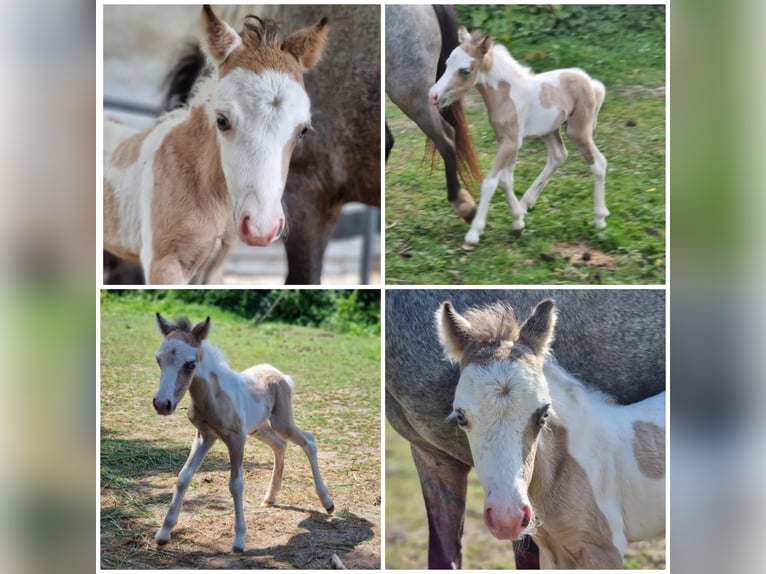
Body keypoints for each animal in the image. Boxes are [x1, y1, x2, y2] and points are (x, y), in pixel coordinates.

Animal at [154, 316, 334, 552]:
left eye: (190, 364)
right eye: (158, 360)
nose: (162, 404)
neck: (212, 397)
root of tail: (280, 375)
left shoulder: (236, 438)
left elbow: (236, 484)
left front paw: (239, 540)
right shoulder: (205, 436)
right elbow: (184, 477)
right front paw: (164, 533)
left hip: (281, 423)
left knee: (309, 441)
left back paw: (327, 502)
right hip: (259, 428)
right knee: (280, 446)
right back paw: (270, 497)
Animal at [428, 27, 608, 249]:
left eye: (465, 71)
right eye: (446, 64)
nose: (433, 95)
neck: (507, 95)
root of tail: (591, 83)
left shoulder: (511, 142)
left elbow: (491, 182)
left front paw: (474, 233)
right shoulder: (508, 141)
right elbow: (506, 180)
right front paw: (517, 221)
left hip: (578, 131)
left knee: (598, 164)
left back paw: (599, 219)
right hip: (548, 130)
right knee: (558, 156)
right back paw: (525, 204)